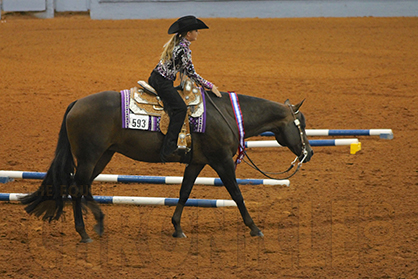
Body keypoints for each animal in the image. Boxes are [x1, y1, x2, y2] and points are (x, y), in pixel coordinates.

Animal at [20, 89, 314, 243]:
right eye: (301, 124)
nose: (309, 152)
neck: (228, 115)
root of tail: (76, 104)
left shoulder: (197, 163)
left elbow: (184, 192)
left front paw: (177, 227)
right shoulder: (221, 162)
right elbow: (236, 194)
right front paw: (254, 228)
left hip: (103, 156)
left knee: (83, 188)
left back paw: (99, 223)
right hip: (90, 157)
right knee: (76, 189)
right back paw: (83, 233)